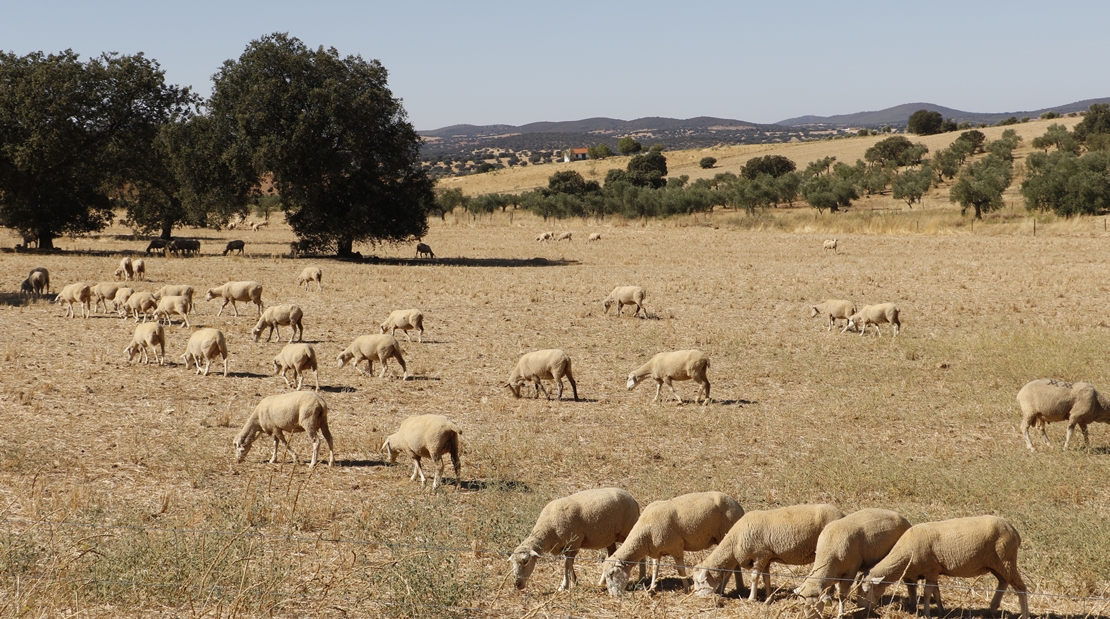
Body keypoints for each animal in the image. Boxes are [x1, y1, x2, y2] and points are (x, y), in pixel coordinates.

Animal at [510, 488, 643, 594]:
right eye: (512, 563)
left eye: (525, 561)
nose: (517, 584)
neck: (548, 529)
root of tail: (633, 499)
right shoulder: (565, 547)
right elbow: (568, 564)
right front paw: (574, 581)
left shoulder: (574, 544)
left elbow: (567, 565)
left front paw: (564, 586)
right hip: (609, 536)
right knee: (611, 554)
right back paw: (602, 581)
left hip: (629, 529)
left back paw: (641, 579)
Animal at [603, 492, 741, 599]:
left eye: (611, 573)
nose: (613, 595)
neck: (644, 534)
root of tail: (738, 506)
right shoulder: (656, 551)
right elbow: (655, 569)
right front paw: (651, 589)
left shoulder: (676, 547)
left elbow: (680, 570)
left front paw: (686, 589)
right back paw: (739, 587)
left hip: (725, 535)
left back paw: (723, 589)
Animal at [688, 505, 843, 603]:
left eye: (699, 581)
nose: (698, 597)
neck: (733, 543)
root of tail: (842, 514)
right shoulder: (767, 557)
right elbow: (766, 578)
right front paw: (769, 598)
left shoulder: (760, 555)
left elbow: (754, 577)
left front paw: (752, 599)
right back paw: (830, 594)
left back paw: (828, 595)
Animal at [856, 516, 1030, 619]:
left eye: (866, 590)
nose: (861, 609)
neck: (905, 553)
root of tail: (1015, 532)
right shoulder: (934, 571)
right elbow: (936, 592)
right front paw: (941, 611)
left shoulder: (931, 570)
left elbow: (927, 593)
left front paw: (927, 613)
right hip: (997, 563)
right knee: (1003, 582)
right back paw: (992, 609)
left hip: (1006, 560)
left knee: (1021, 588)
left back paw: (1024, 614)